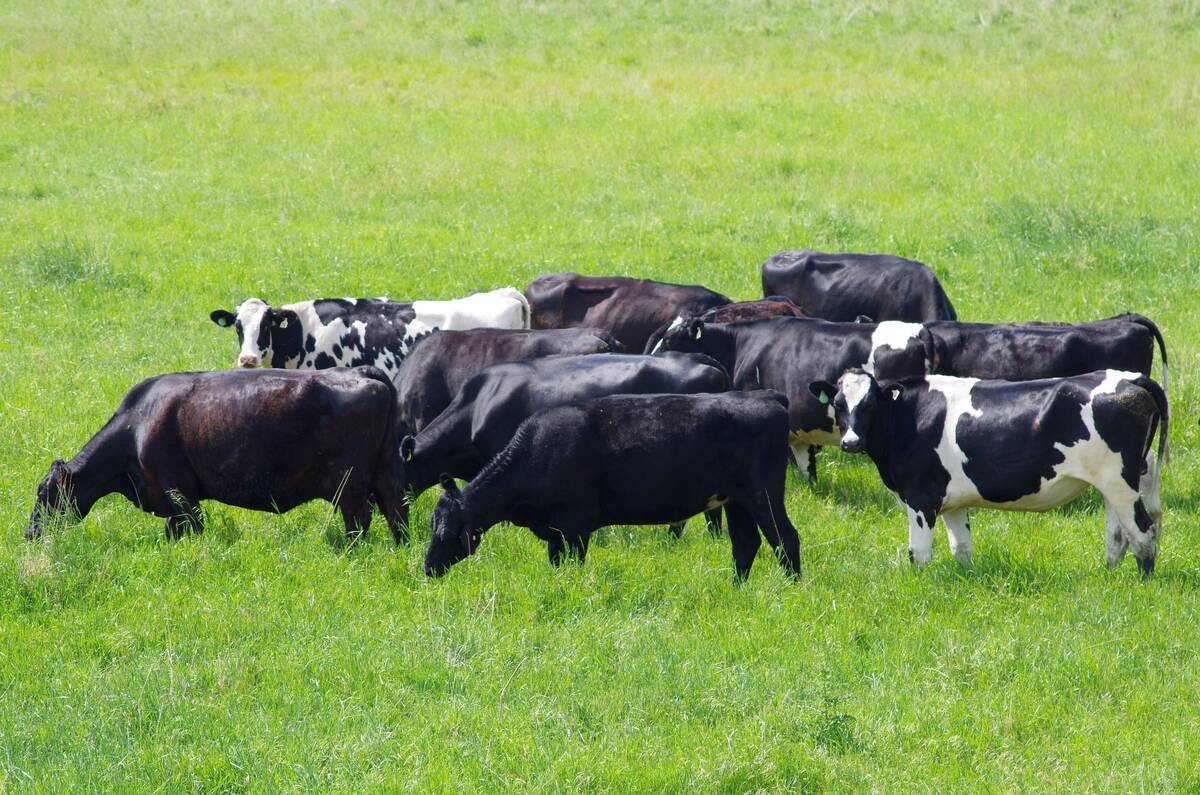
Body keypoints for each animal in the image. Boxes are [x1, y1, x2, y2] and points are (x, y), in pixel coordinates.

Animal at [25, 368, 404, 543]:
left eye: (45, 494)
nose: (30, 533)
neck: (136, 426)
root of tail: (359, 372)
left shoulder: (180, 493)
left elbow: (193, 528)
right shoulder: (172, 500)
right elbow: (172, 531)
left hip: (349, 484)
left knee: (359, 519)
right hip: (385, 474)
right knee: (395, 511)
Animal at [423, 390, 802, 581]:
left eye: (445, 533)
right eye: (431, 526)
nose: (427, 569)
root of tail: (767, 398)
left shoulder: (575, 525)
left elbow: (574, 565)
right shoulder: (555, 532)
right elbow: (556, 564)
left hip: (763, 493)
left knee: (785, 538)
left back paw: (791, 586)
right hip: (736, 499)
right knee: (746, 544)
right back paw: (736, 588)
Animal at [808, 369, 1168, 574]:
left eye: (869, 404)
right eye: (838, 404)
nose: (850, 442)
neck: (906, 417)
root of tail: (1131, 378)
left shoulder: (921, 497)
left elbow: (919, 553)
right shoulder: (952, 501)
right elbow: (962, 549)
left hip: (1118, 479)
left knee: (1142, 531)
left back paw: (1143, 581)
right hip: (1121, 481)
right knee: (1119, 534)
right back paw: (1109, 575)